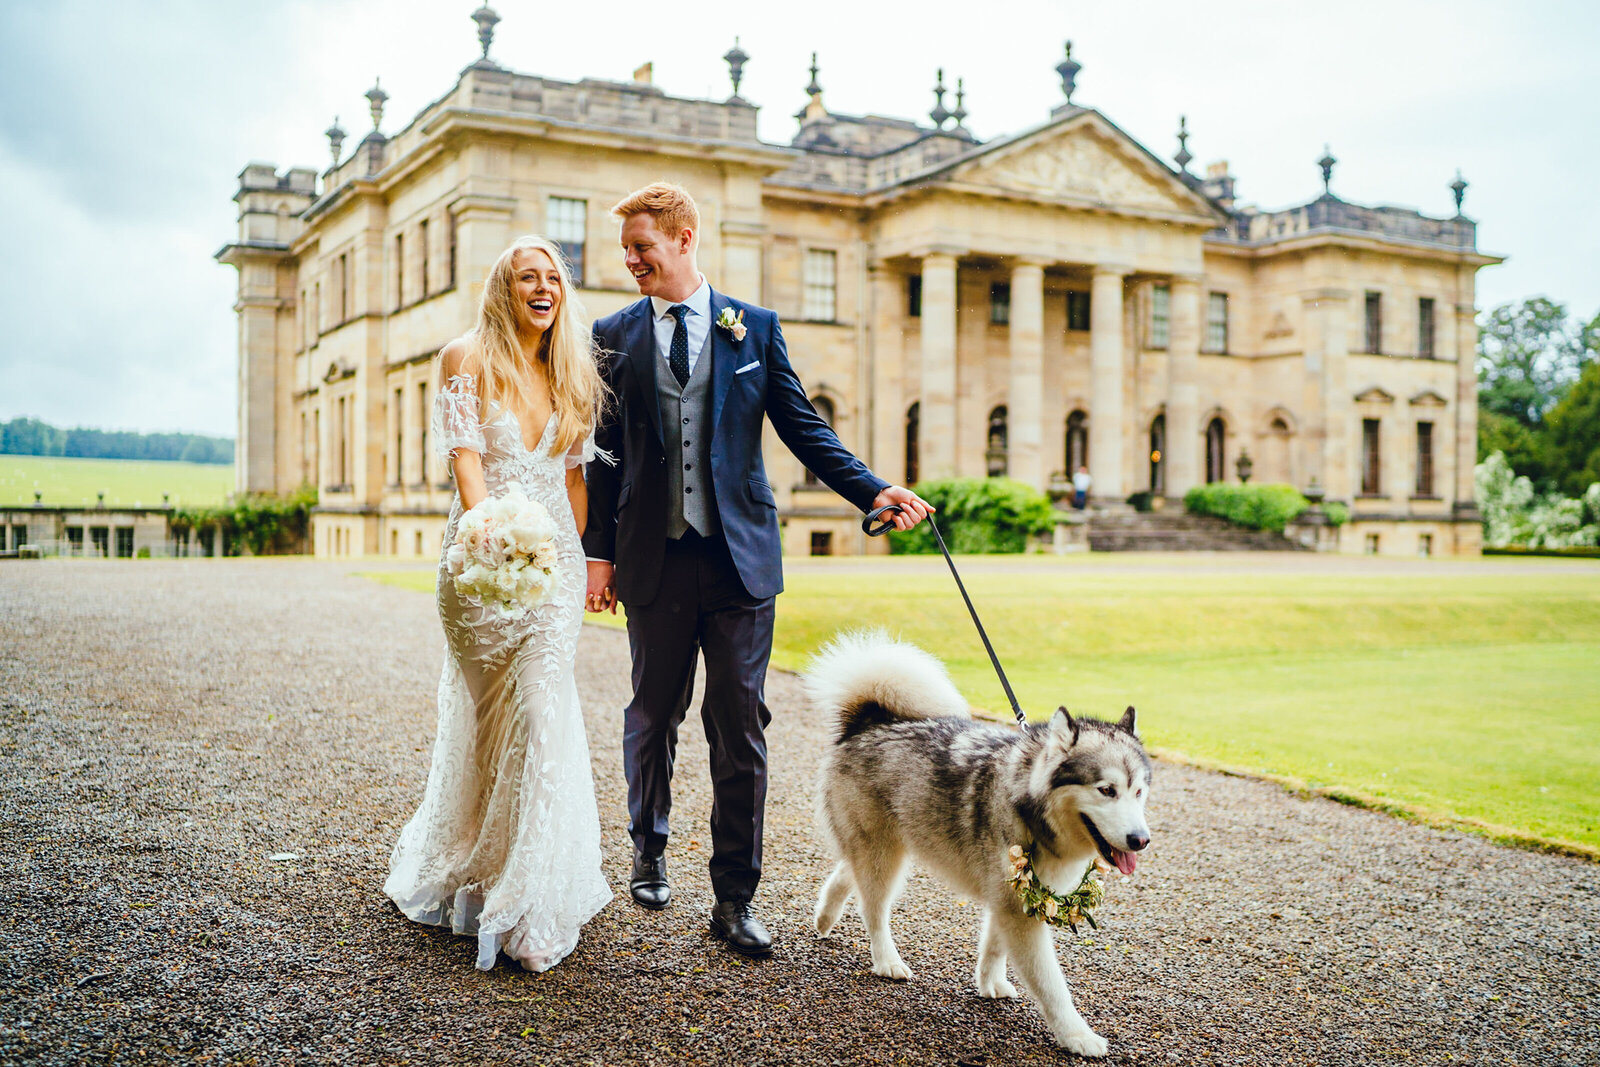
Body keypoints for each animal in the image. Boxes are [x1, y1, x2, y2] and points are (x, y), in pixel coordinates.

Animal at [812, 630, 1152, 1055]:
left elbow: (994, 945)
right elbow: (1051, 984)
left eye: (1138, 792)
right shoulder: (1017, 908)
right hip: (883, 855)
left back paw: (825, 916)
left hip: (886, 846)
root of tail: (869, 722)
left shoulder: (1013, 893)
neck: (1030, 804)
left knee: (848, 871)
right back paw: (886, 959)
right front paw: (1076, 1034)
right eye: (1107, 790)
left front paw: (990, 982)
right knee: (873, 908)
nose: (1141, 840)